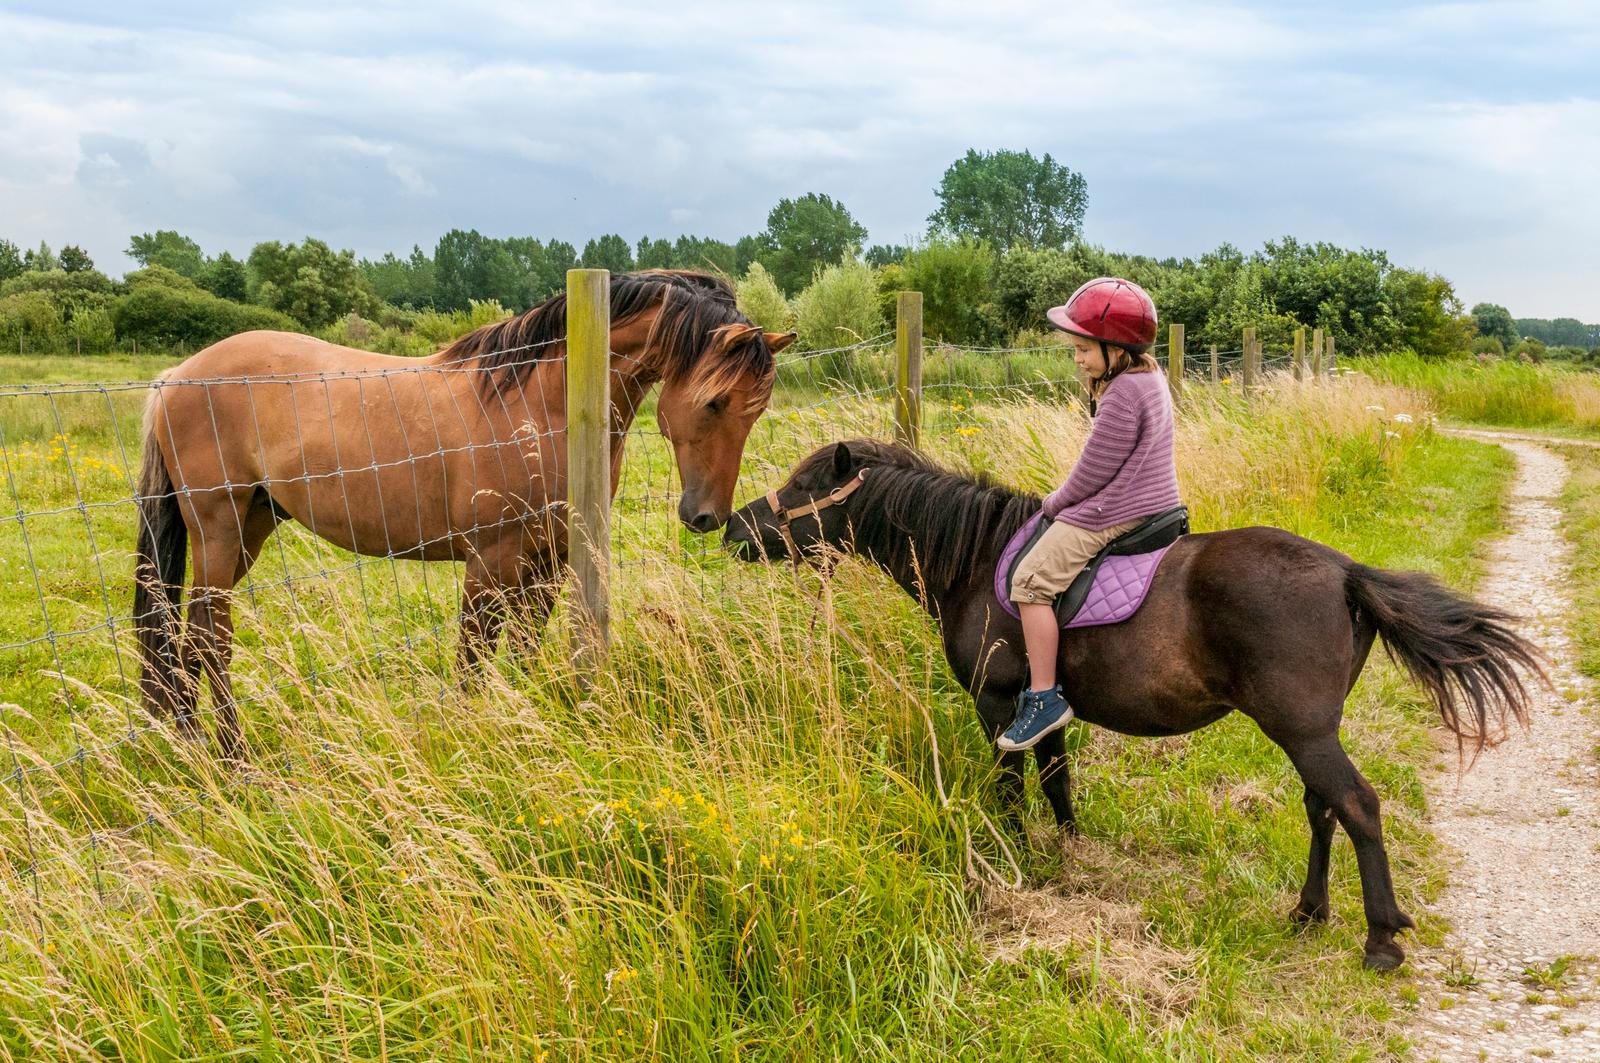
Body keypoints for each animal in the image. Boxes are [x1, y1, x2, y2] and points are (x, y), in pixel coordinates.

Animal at [134, 270, 794, 758]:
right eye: (714, 401)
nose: (706, 517)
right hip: (219, 530)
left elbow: (523, 652)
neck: (540, 405)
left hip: (251, 526)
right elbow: (473, 663)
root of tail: (177, 376)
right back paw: (233, 757)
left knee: (188, 634)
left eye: (756, 411)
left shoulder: (548, 563)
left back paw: (192, 740)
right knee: (210, 637)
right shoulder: (490, 563)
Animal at [723, 439, 1544, 971]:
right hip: (1311, 730)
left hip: (1304, 730)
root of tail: (1347, 573)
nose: (731, 528)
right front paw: (1069, 857)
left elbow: (1012, 788)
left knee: (1358, 807)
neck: (977, 558)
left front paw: (1016, 861)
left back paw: (1380, 940)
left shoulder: (998, 705)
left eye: (802, 486)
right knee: (1324, 808)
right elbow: (1057, 783)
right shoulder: (1041, 706)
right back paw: (1310, 912)